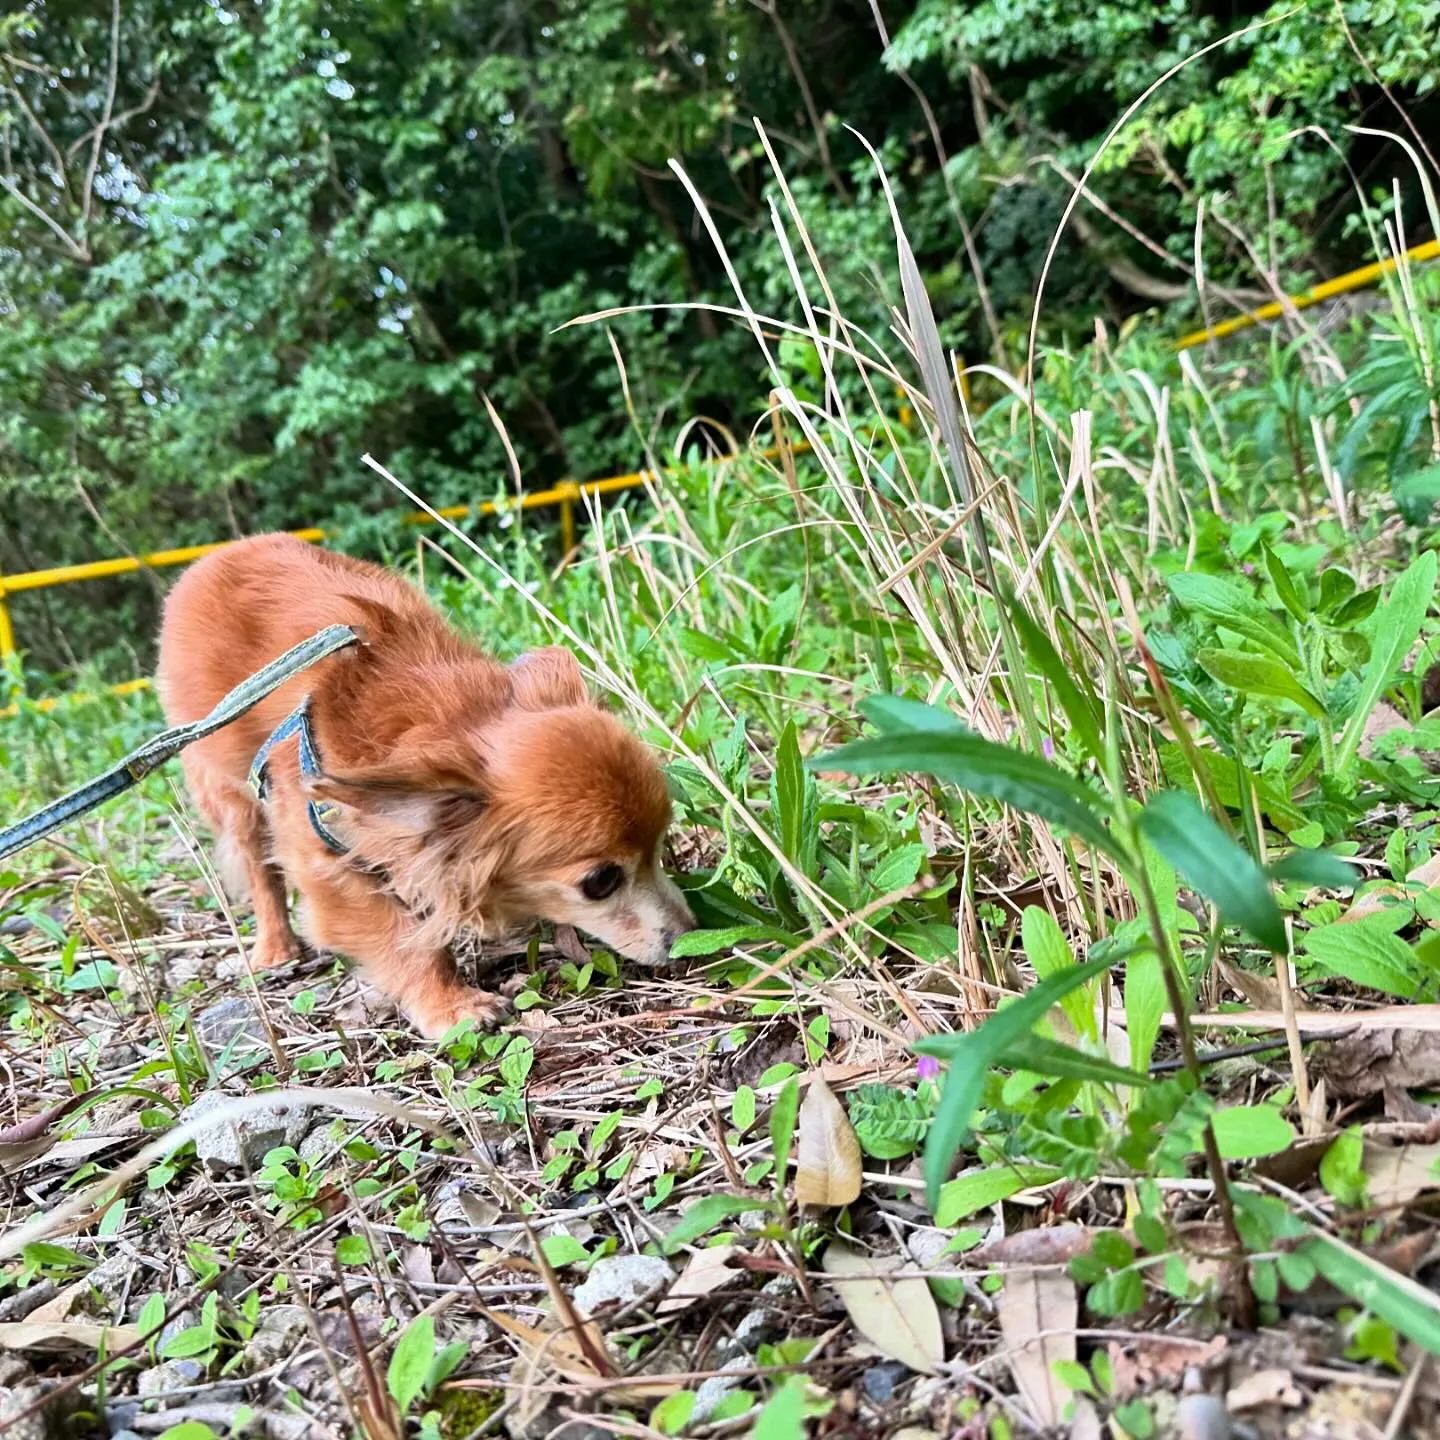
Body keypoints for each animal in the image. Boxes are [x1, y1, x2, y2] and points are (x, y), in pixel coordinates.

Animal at [157, 532, 696, 1036]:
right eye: (601, 882)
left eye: (659, 847)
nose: (691, 933)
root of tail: (219, 554)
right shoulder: (323, 866)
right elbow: (402, 942)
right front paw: (451, 1005)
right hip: (229, 793)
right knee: (258, 869)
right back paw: (275, 945)